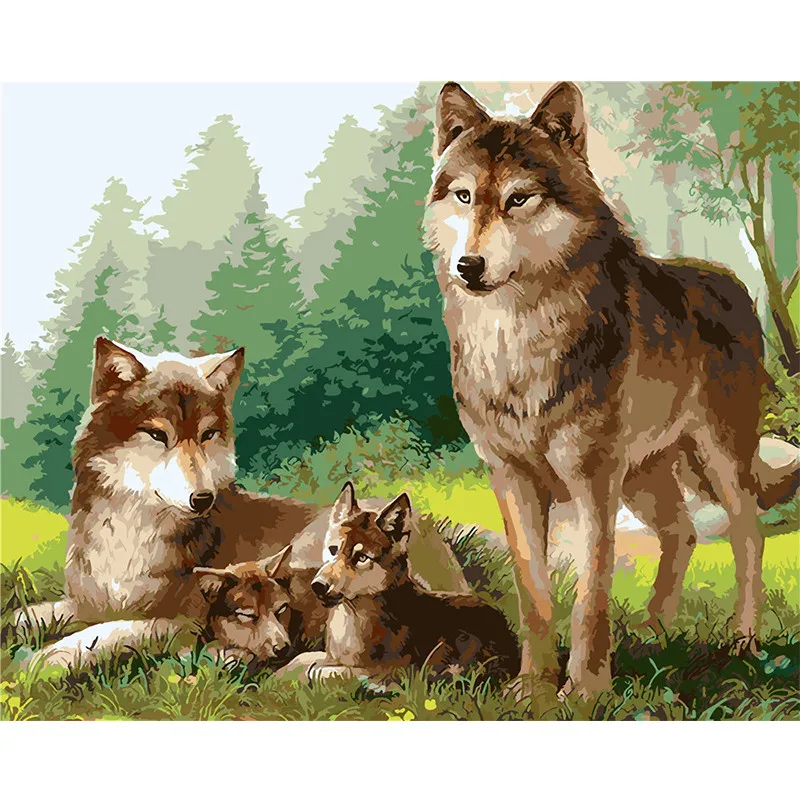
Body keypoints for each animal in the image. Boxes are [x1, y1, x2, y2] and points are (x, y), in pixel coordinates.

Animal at [16, 338, 466, 668]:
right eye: (158, 435)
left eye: (207, 435)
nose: (202, 498)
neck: (132, 530)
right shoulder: (88, 601)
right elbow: (27, 615)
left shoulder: (184, 617)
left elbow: (111, 632)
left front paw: (45, 659)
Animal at [300, 483, 520, 682]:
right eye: (333, 549)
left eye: (361, 558)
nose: (318, 586)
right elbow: (312, 664)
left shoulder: (391, 670)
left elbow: (321, 672)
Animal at [422, 81, 799, 699]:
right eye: (464, 195)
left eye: (519, 199)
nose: (468, 266)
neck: (517, 339)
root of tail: (734, 283)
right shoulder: (511, 478)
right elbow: (534, 595)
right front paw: (533, 689)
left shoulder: (593, 478)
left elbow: (591, 595)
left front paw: (586, 692)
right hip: (645, 476)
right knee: (683, 534)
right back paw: (653, 636)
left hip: (717, 460)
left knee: (748, 537)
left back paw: (743, 642)